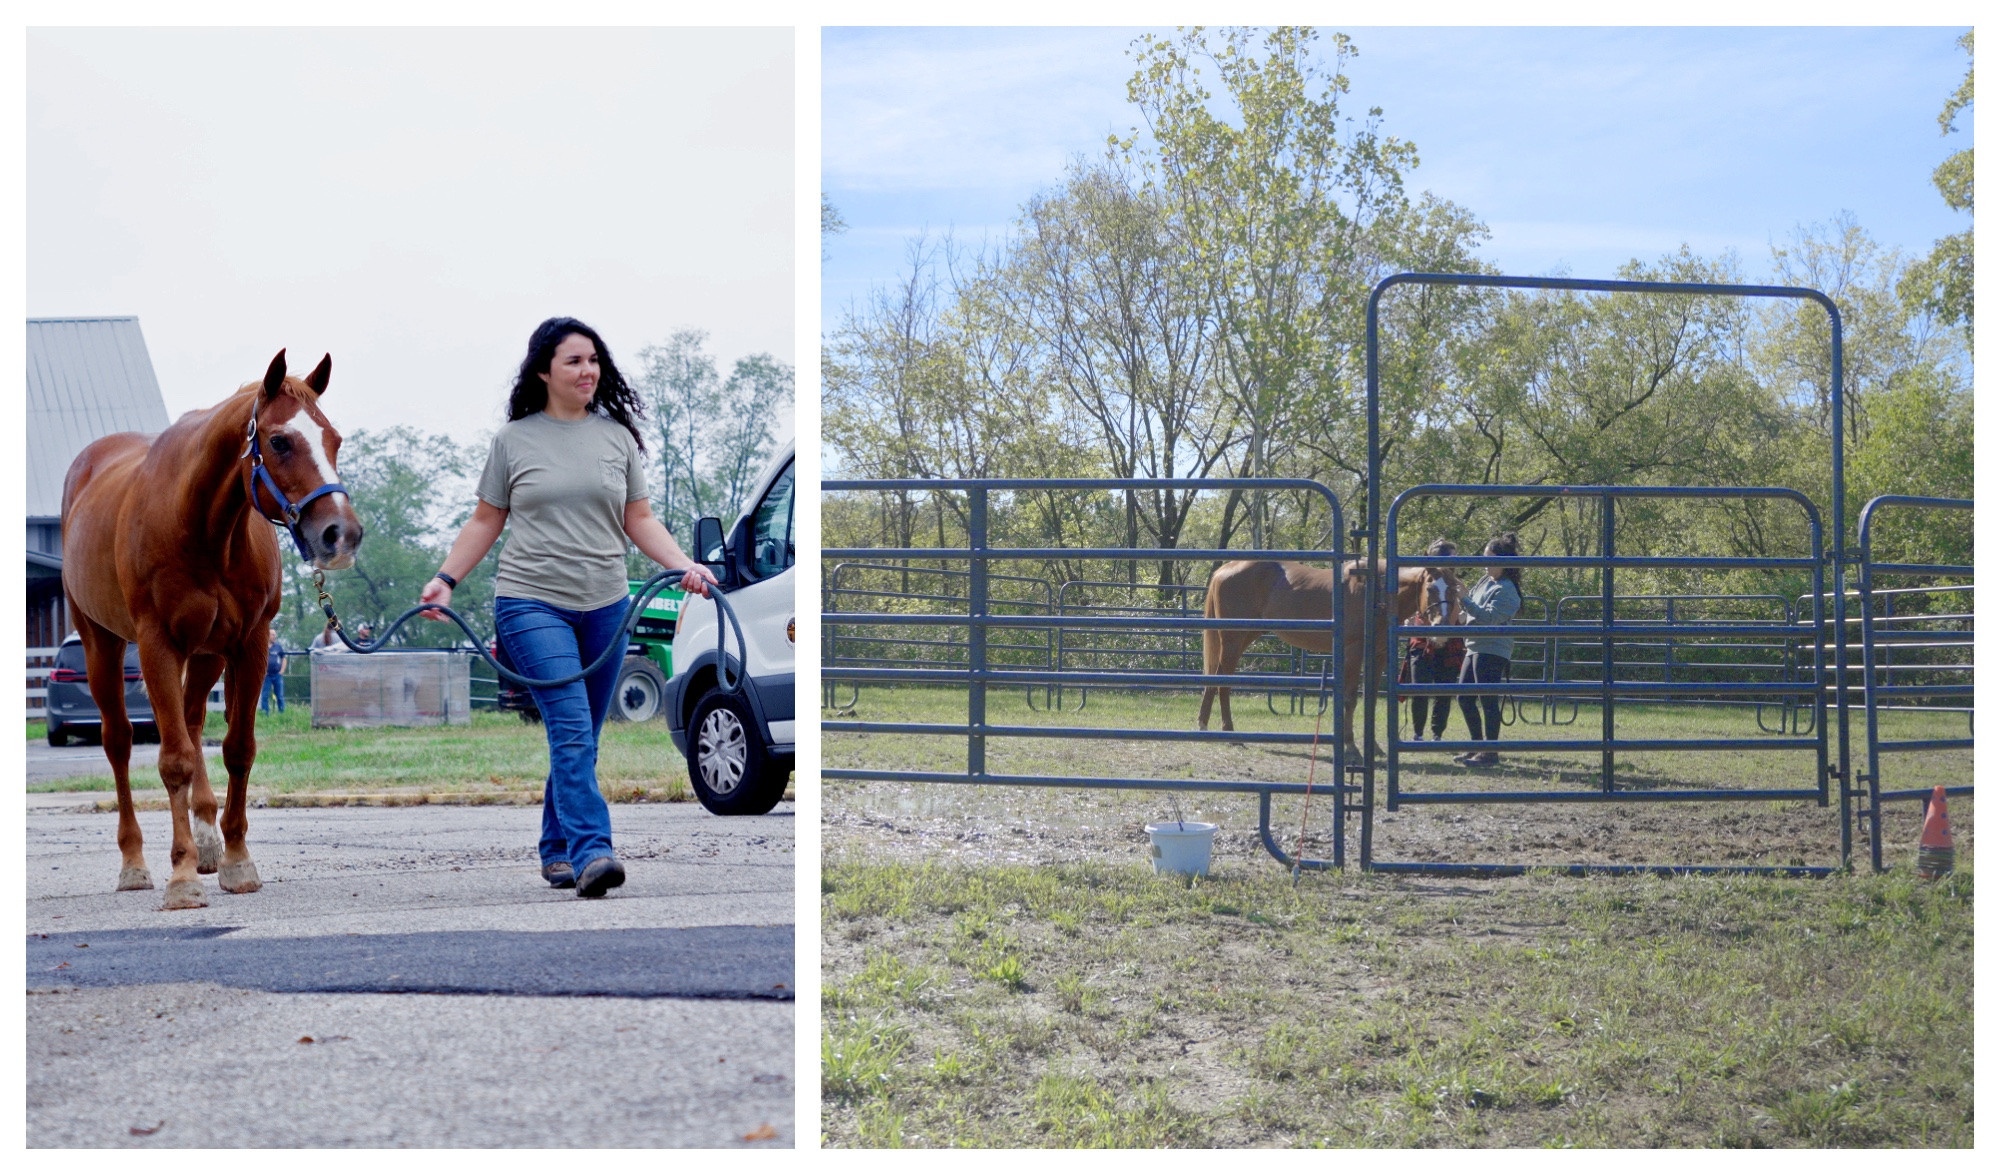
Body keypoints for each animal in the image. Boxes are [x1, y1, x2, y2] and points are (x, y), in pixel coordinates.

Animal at [61, 349, 368, 907]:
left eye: (334, 438)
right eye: (279, 441)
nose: (342, 534)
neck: (202, 525)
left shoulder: (250, 644)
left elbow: (237, 750)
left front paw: (236, 859)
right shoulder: (157, 644)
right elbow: (174, 760)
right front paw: (181, 877)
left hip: (204, 654)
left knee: (192, 719)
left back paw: (206, 842)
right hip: (102, 643)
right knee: (119, 742)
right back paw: (135, 863)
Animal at [1192, 559, 1464, 755]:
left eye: (1453, 589)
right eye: (1430, 587)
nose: (1441, 629)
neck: (1374, 593)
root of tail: (1224, 569)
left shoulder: (1378, 656)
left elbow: (1369, 700)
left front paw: (1374, 747)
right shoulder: (1353, 652)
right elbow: (1350, 699)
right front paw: (1351, 747)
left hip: (1244, 637)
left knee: (1214, 678)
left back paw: (1204, 726)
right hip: (1233, 639)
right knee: (1223, 682)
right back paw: (1231, 735)